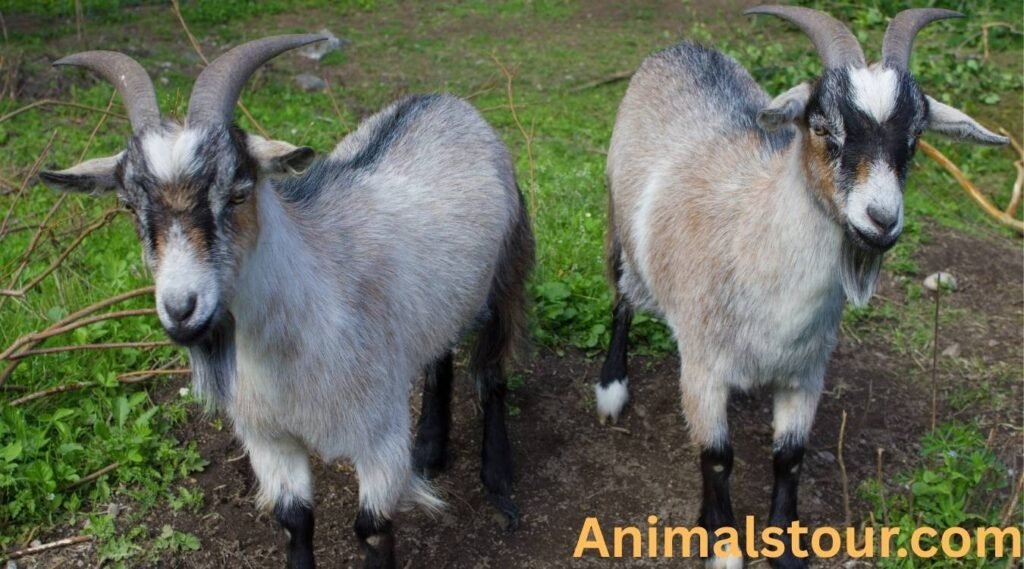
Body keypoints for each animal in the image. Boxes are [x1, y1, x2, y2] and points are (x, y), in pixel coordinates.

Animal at [40, 35, 534, 569]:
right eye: (130, 205)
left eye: (238, 193)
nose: (181, 309)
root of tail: (445, 100)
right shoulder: (268, 439)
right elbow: (295, 521)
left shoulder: (378, 431)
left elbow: (372, 529)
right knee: (439, 354)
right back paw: (429, 451)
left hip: (506, 270)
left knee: (492, 374)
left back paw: (499, 485)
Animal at [596, 7, 1006, 568]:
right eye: (821, 126)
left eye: (916, 138)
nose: (882, 220)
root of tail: (684, 48)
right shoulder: (702, 367)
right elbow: (717, 458)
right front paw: (722, 545)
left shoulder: (806, 373)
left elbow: (789, 458)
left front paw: (785, 547)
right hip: (618, 220)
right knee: (621, 299)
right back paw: (611, 388)